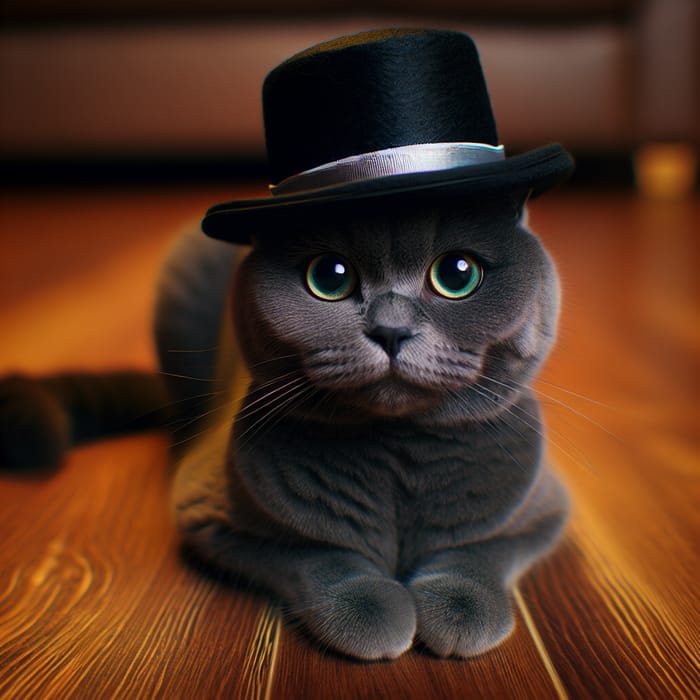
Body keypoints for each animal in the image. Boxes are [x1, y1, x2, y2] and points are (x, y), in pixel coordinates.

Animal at [163, 194, 568, 660]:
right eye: (328, 276)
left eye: (457, 273)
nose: (391, 330)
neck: (398, 452)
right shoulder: (206, 512)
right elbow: (312, 553)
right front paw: (368, 609)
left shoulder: (546, 510)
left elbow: (481, 549)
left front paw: (461, 608)